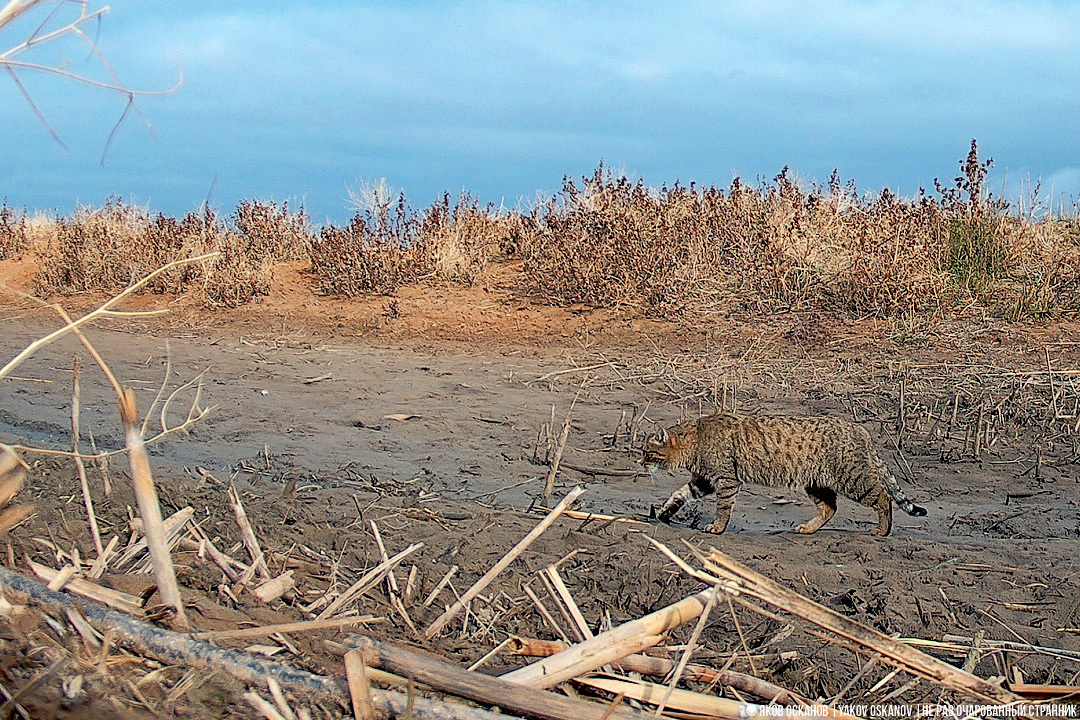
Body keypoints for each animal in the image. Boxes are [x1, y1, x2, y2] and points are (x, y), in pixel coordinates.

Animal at [639, 414, 928, 537]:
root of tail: (860, 428)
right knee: (830, 508)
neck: (696, 437)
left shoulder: (726, 480)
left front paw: (718, 528)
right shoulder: (704, 481)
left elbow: (722, 508)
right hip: (816, 483)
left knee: (883, 496)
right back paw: (809, 529)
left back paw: (883, 529)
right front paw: (663, 512)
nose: (639, 463)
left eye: (647, 453)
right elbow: (678, 495)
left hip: (853, 480)